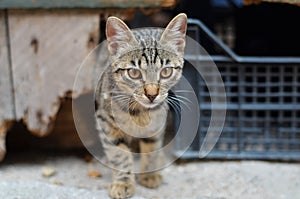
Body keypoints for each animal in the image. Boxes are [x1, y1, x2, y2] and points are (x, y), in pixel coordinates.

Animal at [95, 13, 186, 198]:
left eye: (166, 71)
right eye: (134, 73)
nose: (152, 94)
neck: (140, 112)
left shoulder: (158, 121)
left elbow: (152, 146)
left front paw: (149, 174)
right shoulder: (105, 121)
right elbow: (119, 154)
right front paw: (123, 183)